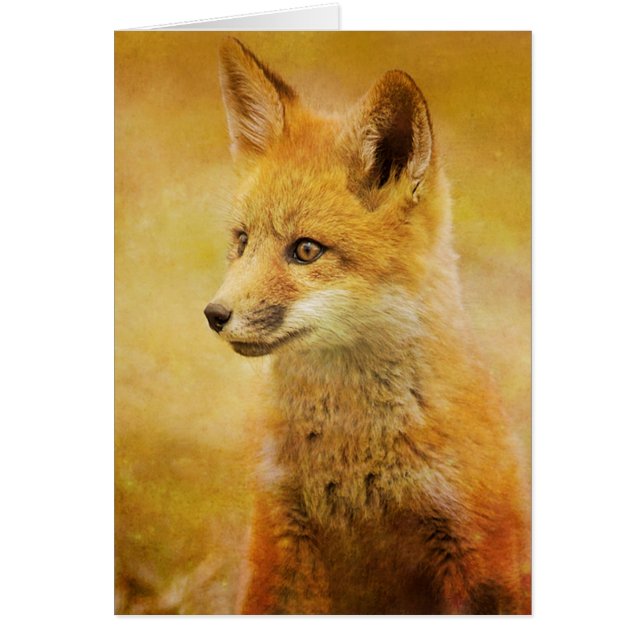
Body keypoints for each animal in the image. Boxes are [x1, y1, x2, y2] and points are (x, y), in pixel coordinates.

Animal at [204, 38, 530, 615]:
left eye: (306, 250)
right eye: (242, 241)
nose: (215, 315)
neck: (353, 458)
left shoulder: (475, 548)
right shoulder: (278, 535)